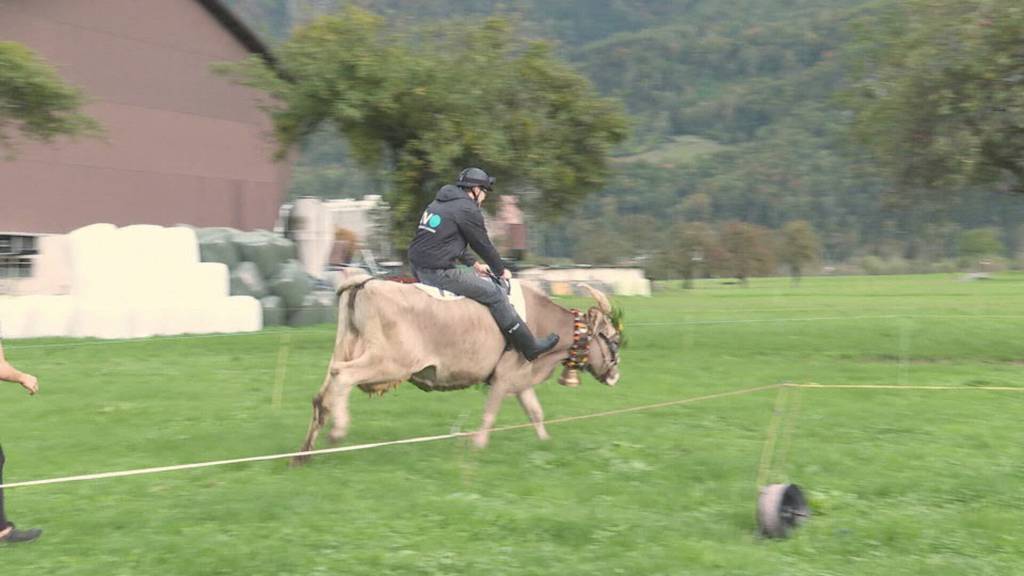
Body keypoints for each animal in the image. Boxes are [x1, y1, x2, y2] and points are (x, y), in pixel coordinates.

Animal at [292, 272, 618, 461]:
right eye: (612, 338)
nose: (616, 375)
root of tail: (366, 282)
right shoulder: (504, 377)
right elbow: (490, 414)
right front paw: (478, 445)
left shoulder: (519, 379)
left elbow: (535, 412)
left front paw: (546, 443)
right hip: (389, 361)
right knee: (342, 376)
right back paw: (338, 431)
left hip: (348, 348)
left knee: (323, 395)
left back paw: (304, 452)